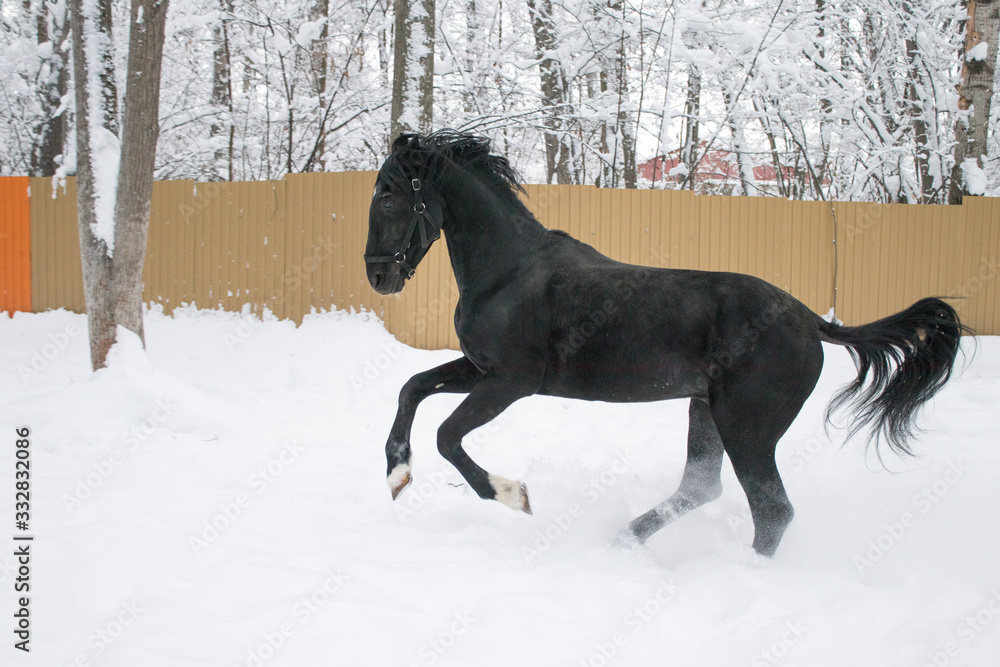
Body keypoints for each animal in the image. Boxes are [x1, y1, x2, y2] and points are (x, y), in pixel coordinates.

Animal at [363, 131, 968, 556]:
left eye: (390, 199)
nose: (377, 275)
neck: (509, 269)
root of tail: (808, 319)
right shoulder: (479, 368)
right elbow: (411, 387)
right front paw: (397, 475)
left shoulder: (512, 381)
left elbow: (447, 436)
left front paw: (515, 496)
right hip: (707, 411)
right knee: (702, 488)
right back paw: (622, 540)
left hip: (748, 427)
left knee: (771, 509)